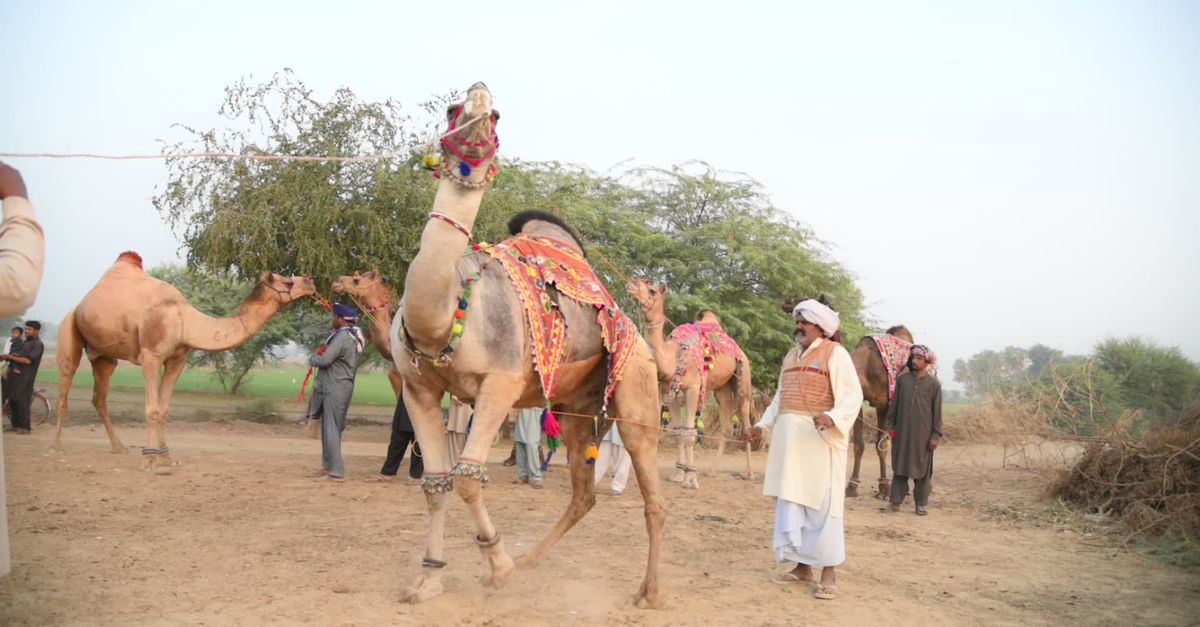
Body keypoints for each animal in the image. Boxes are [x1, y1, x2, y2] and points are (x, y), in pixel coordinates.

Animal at [54, 252, 316, 470]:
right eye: (287, 282)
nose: (311, 280)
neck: (184, 321)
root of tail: (80, 305)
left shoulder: (177, 359)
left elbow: (164, 409)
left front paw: (166, 457)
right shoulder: (150, 356)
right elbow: (152, 409)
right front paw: (149, 460)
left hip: (103, 356)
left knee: (100, 397)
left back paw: (118, 447)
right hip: (69, 328)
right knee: (66, 384)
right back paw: (57, 447)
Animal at [389, 83, 665, 609]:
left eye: (496, 116)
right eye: (452, 109)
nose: (479, 98)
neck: (444, 316)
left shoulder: (498, 384)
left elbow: (467, 478)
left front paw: (497, 567)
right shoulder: (417, 388)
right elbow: (435, 484)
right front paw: (427, 579)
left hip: (638, 391)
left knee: (653, 497)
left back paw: (650, 594)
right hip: (577, 410)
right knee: (583, 494)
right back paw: (533, 558)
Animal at [625, 279, 754, 489]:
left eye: (652, 290)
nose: (632, 282)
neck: (673, 355)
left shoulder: (693, 389)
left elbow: (689, 434)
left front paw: (691, 479)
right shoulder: (670, 394)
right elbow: (679, 433)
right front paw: (679, 474)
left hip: (744, 381)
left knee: (745, 422)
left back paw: (748, 473)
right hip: (722, 390)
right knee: (726, 425)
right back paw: (712, 471)